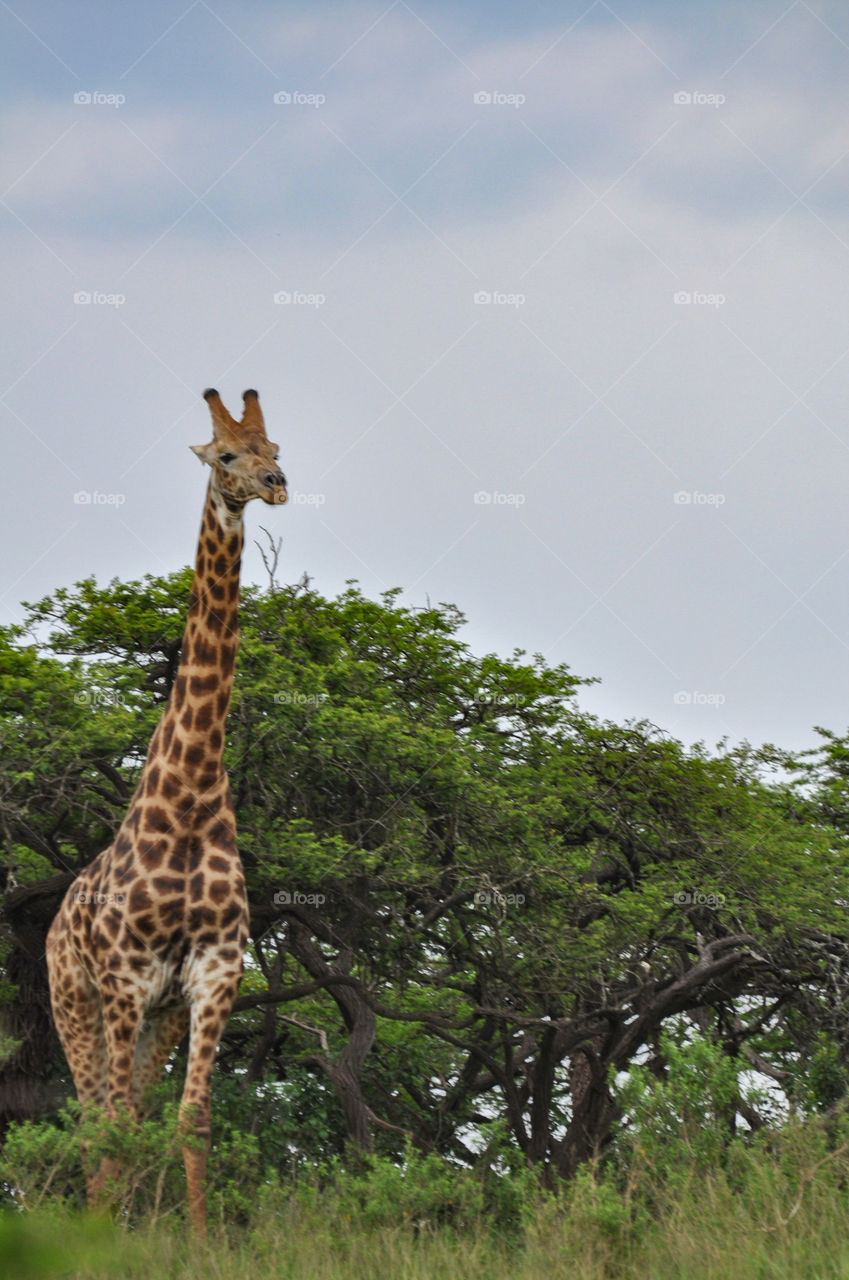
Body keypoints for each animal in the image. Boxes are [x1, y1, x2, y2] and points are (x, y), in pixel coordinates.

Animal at [46, 388, 287, 1236]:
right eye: (226, 455)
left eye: (277, 446)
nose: (276, 485)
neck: (187, 799)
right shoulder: (125, 979)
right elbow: (115, 1123)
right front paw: (109, 1241)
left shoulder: (212, 976)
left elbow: (192, 1119)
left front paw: (199, 1241)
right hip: (73, 1004)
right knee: (95, 1115)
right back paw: (95, 1219)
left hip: (155, 1020)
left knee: (127, 1110)